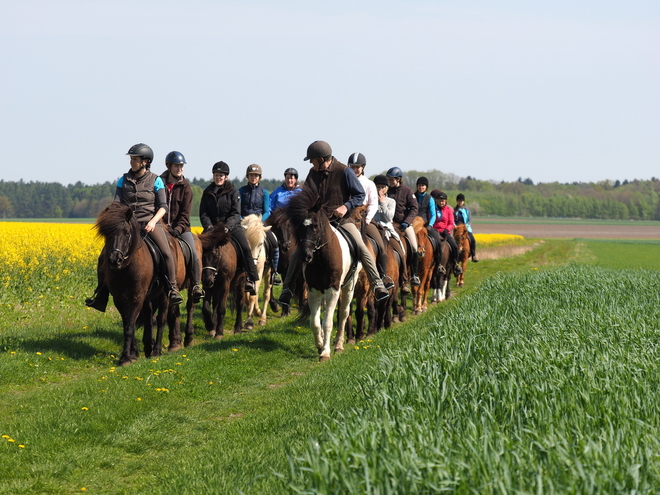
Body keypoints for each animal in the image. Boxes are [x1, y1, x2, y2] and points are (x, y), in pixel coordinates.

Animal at [92, 202, 188, 368]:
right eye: (107, 234)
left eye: (126, 233)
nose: (115, 260)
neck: (126, 268)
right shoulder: (119, 298)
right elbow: (127, 323)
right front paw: (132, 353)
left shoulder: (136, 296)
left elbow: (130, 325)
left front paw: (126, 357)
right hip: (148, 297)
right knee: (149, 318)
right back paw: (148, 347)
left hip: (163, 294)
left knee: (161, 319)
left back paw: (156, 350)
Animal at [284, 188, 360, 362]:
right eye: (299, 227)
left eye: (315, 225)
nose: (305, 256)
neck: (321, 259)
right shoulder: (314, 290)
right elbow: (315, 322)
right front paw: (320, 345)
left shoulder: (333, 290)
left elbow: (327, 323)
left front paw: (325, 352)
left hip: (349, 286)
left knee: (344, 313)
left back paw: (338, 345)